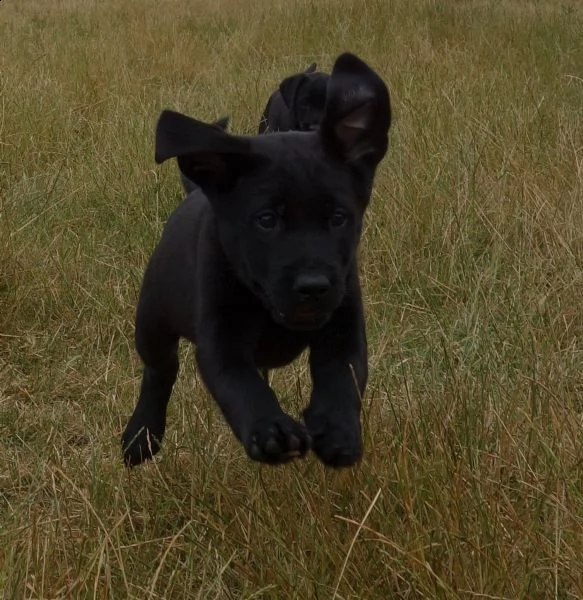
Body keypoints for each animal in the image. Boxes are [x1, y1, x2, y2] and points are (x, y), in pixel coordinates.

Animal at [124, 52, 392, 468]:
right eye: (266, 220)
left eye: (338, 217)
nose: (313, 286)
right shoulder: (220, 338)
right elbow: (239, 383)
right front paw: (272, 430)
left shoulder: (344, 325)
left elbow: (343, 375)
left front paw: (338, 429)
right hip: (152, 321)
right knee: (160, 370)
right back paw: (141, 436)